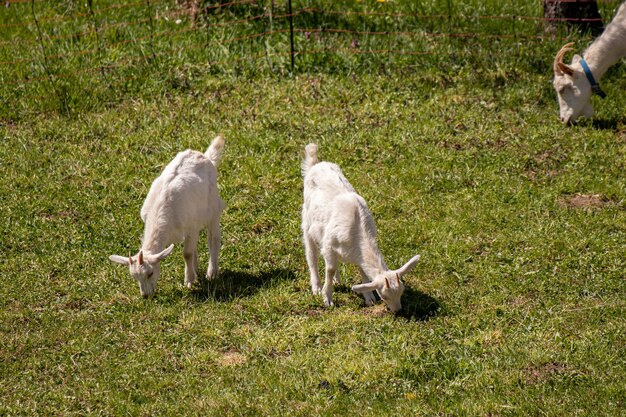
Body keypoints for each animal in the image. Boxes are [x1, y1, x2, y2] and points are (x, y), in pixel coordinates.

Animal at [110, 135, 227, 298]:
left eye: (150, 273)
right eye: (134, 277)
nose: (145, 296)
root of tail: (205, 156)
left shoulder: (191, 226)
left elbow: (187, 253)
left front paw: (188, 281)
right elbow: (191, 251)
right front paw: (193, 275)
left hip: (213, 206)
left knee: (213, 239)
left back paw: (212, 273)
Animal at [298, 141, 420, 310]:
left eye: (402, 292)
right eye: (384, 296)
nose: (398, 310)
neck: (358, 232)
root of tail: (315, 164)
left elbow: (361, 270)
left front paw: (368, 298)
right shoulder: (329, 245)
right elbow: (330, 269)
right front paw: (326, 297)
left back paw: (337, 280)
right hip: (307, 221)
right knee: (312, 255)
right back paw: (316, 286)